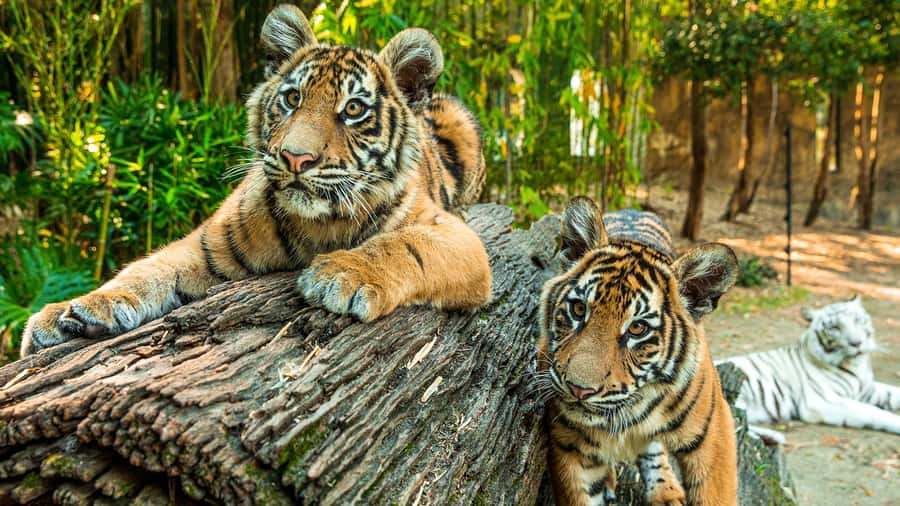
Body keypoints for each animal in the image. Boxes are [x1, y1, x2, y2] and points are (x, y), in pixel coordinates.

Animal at [20, 5, 491, 356]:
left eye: (354, 109)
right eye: (292, 98)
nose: (296, 157)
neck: (318, 223)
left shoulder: (455, 238)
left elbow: (403, 246)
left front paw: (340, 275)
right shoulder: (206, 244)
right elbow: (145, 269)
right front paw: (73, 311)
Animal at [721, 295, 900, 438]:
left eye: (858, 320)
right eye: (835, 328)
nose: (856, 343)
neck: (857, 365)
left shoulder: (868, 390)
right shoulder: (822, 401)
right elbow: (874, 412)